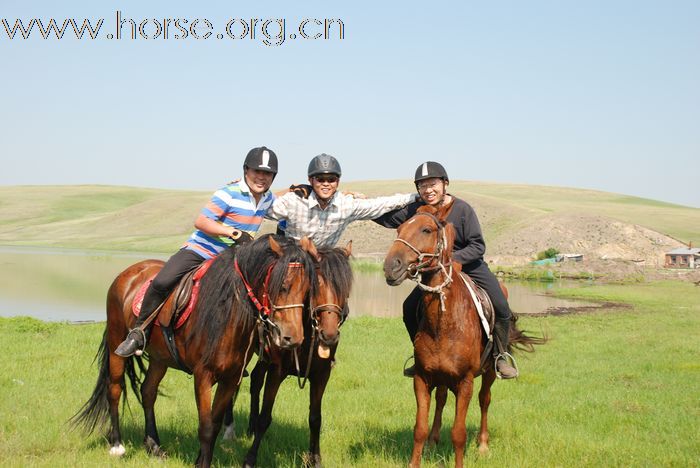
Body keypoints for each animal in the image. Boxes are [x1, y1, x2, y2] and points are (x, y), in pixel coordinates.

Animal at [69, 234, 316, 468]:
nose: (292, 338)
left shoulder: (230, 378)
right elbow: (205, 426)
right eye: (282, 286)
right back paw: (117, 445)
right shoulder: (203, 375)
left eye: (307, 290)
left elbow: (214, 425)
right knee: (114, 389)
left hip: (160, 358)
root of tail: (128, 274)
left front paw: (200, 459)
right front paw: (202, 462)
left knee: (148, 392)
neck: (227, 314)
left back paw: (154, 446)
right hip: (116, 343)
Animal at [234, 239, 356, 466]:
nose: (329, 335)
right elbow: (266, 417)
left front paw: (315, 459)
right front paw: (250, 458)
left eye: (346, 289)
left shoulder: (322, 375)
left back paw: (250, 427)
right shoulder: (277, 371)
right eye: (316, 286)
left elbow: (315, 419)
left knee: (255, 379)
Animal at [382, 205, 540, 468]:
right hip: (442, 377)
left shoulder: (466, 382)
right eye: (399, 228)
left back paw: (483, 445)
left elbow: (459, 433)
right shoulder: (422, 378)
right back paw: (433, 440)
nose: (391, 266)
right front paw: (419, 456)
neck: (444, 323)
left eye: (426, 230)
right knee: (441, 399)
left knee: (485, 400)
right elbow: (419, 428)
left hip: (488, 373)